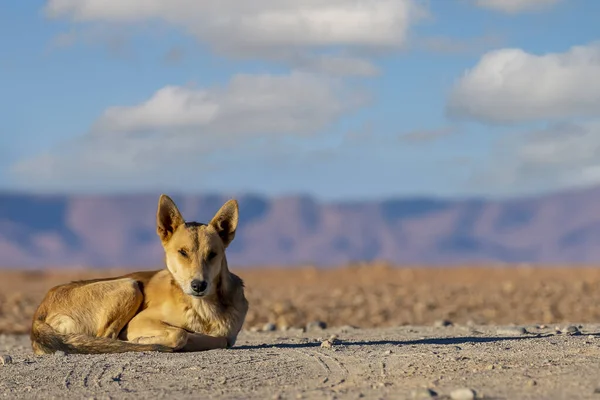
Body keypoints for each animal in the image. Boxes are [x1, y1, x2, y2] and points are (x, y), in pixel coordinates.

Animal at [29, 195, 250, 354]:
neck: (203, 310)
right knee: (107, 337)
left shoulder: (228, 334)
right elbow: (181, 334)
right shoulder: (139, 321)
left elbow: (220, 339)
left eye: (212, 254)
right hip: (129, 285)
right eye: (183, 252)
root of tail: (39, 312)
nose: (198, 285)